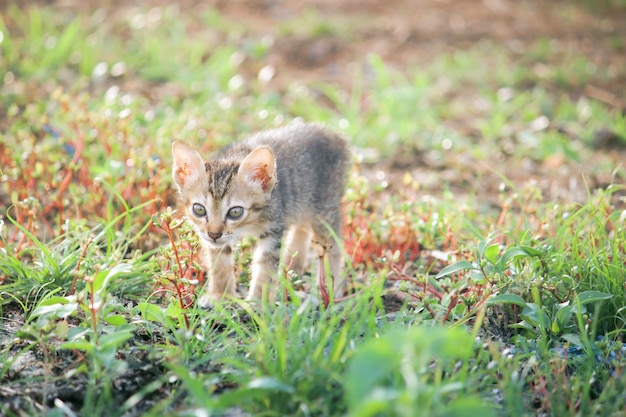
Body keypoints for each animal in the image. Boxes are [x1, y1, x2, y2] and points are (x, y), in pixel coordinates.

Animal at [171, 122, 348, 306]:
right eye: (199, 209)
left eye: (235, 212)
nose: (214, 234)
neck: (251, 222)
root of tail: (333, 134)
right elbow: (220, 263)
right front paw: (220, 295)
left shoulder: (273, 230)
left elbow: (265, 267)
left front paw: (258, 303)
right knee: (302, 227)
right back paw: (293, 266)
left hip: (325, 209)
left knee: (332, 246)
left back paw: (332, 285)